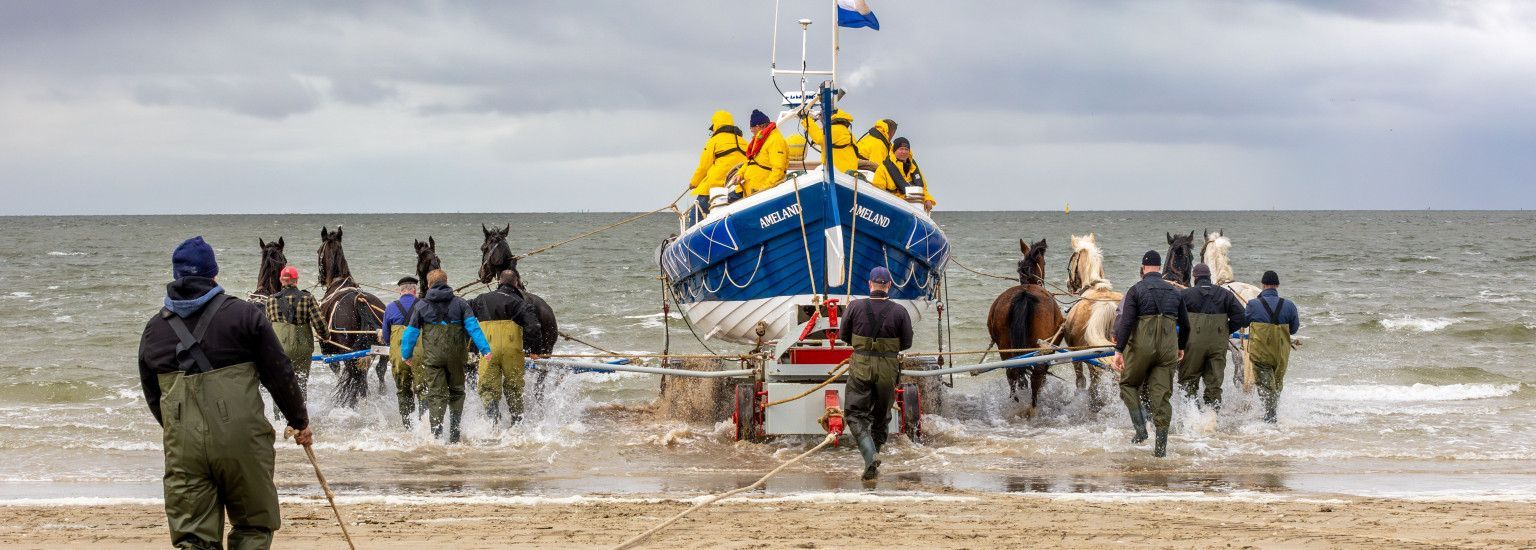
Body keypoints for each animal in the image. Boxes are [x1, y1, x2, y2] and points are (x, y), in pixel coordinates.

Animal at [316, 224, 390, 408]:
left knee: (355, 375)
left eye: (318, 251)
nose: (321, 278)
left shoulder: (328, 350)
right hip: (382, 347)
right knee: (379, 371)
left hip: (348, 351)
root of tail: (360, 301)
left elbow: (336, 370)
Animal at [983, 238, 1069, 417]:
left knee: (1012, 373)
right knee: (1037, 374)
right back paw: (1033, 406)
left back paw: (1016, 401)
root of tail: (1024, 294)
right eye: (1044, 262)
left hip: (1005, 347)